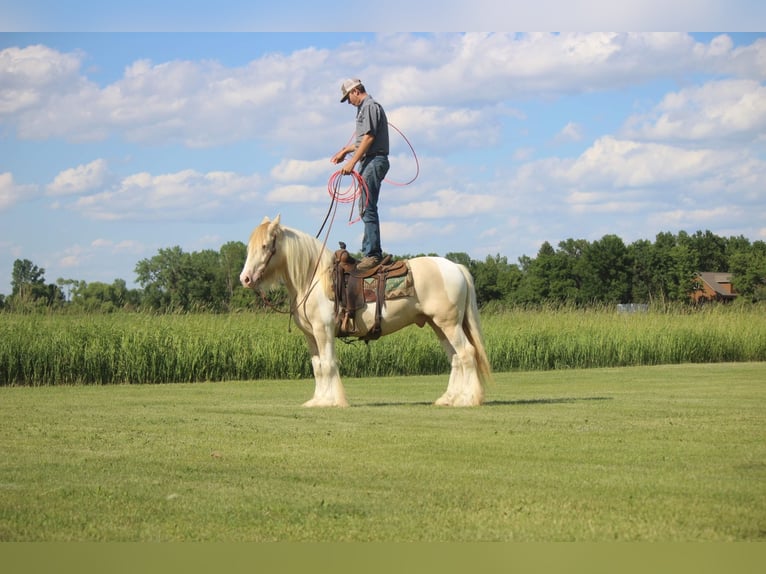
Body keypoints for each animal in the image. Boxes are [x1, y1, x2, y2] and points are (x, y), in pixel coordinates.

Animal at [238, 216, 492, 410]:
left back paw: (468, 399)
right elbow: (318, 367)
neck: (313, 278)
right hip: (438, 325)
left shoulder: (324, 331)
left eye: (265, 246)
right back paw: (449, 399)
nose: (245, 279)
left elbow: (328, 364)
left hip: (449, 324)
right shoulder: (311, 335)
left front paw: (333, 401)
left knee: (467, 353)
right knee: (456, 358)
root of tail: (455, 267)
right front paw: (318, 400)